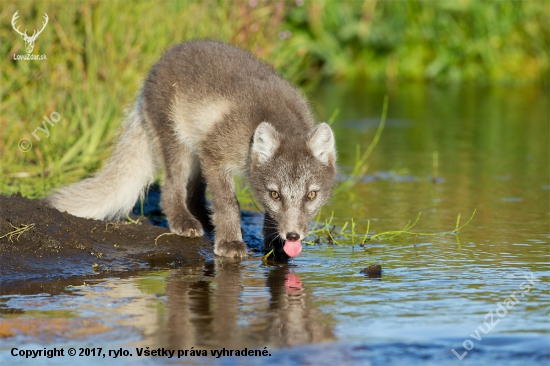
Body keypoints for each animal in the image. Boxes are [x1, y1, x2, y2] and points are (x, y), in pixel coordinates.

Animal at [48, 41, 336, 258]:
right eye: (275, 194)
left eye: (311, 195)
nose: (293, 236)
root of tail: (162, 59)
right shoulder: (216, 154)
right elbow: (227, 203)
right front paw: (230, 242)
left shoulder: (212, 156)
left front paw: (273, 242)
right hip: (177, 142)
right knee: (171, 188)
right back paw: (183, 222)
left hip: (197, 153)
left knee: (193, 192)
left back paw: (205, 219)